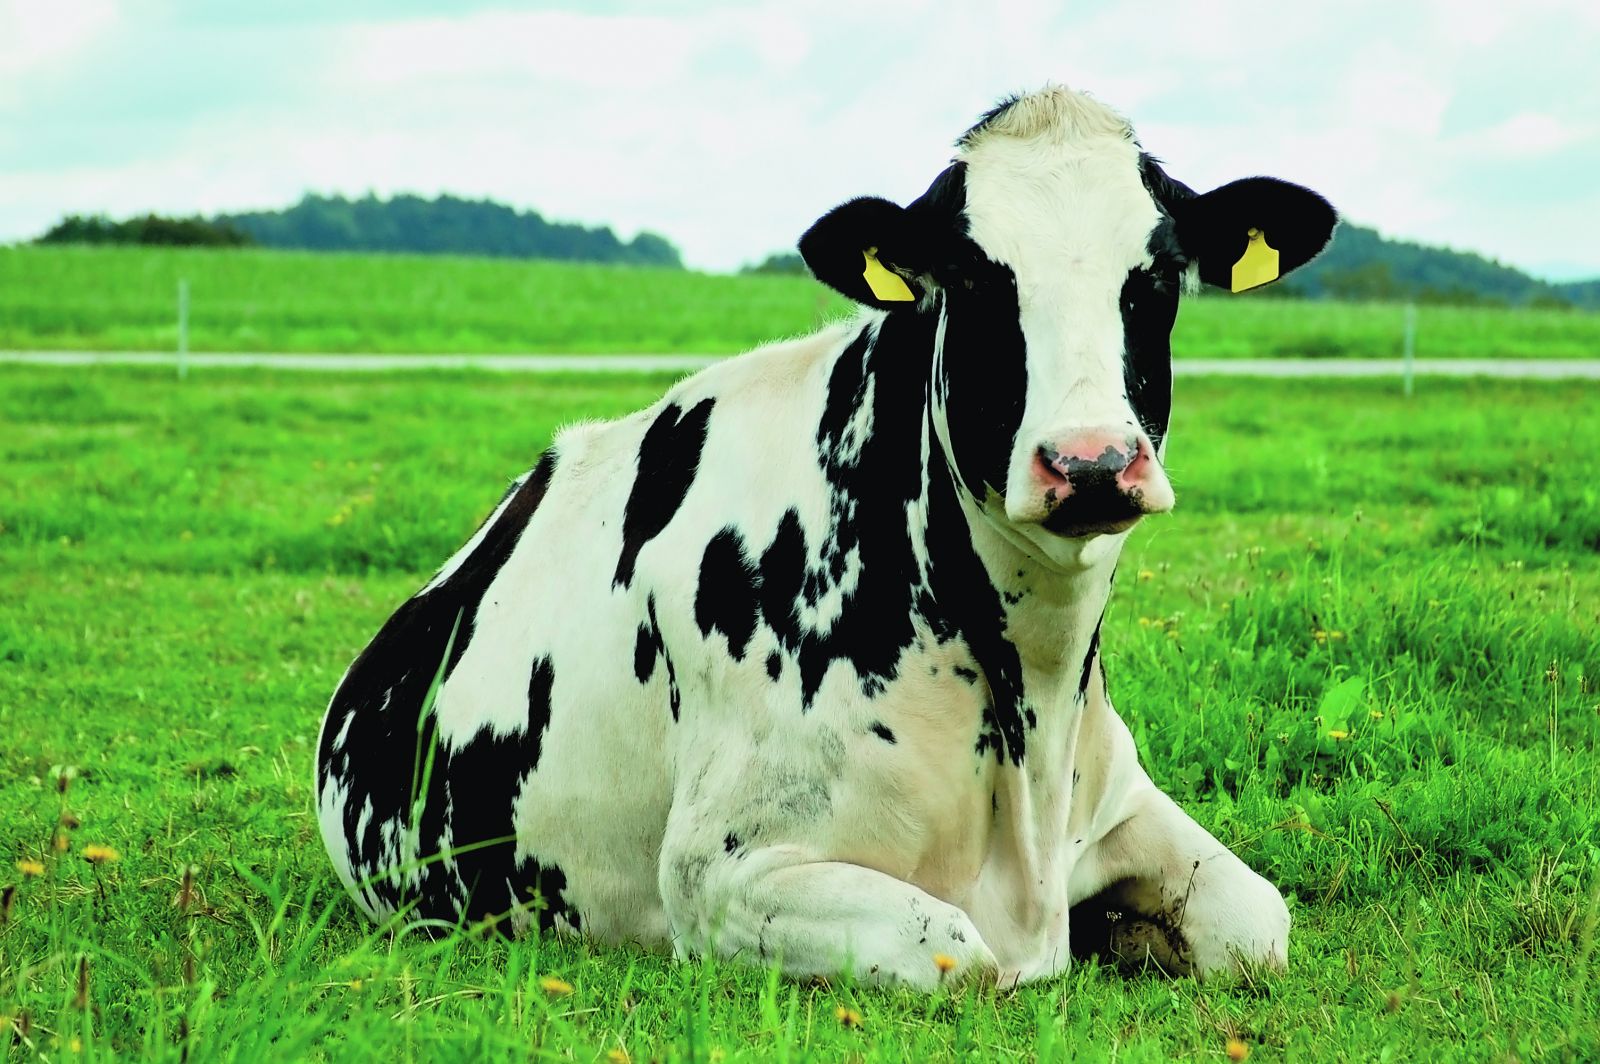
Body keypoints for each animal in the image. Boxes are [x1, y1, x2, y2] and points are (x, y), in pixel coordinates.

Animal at [315, 84, 1336, 989]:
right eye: (972, 277)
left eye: (1158, 276)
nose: (1089, 462)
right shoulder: (721, 875)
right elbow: (960, 953)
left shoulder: (1120, 803)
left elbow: (1259, 921)